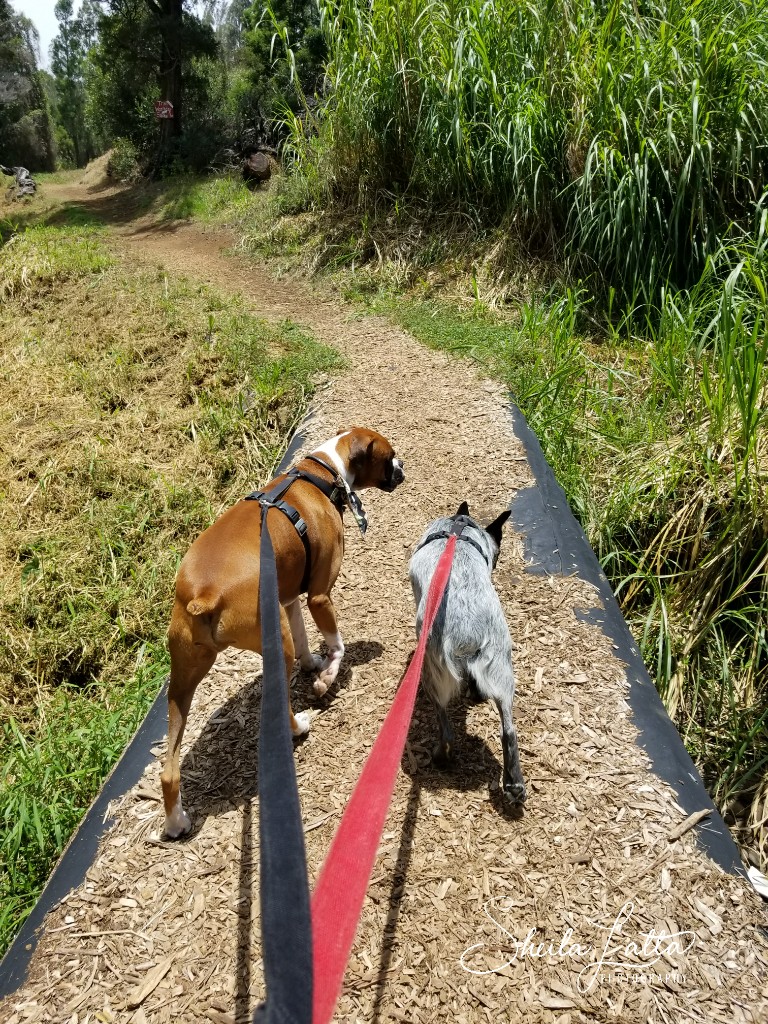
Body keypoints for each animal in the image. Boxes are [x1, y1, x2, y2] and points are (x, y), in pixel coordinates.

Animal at [162, 427, 405, 837]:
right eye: (389, 457)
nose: (403, 469)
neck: (322, 473)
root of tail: (202, 594)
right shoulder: (320, 597)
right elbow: (338, 647)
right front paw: (326, 678)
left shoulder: (290, 600)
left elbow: (306, 639)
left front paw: (313, 665)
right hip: (272, 649)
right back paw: (298, 726)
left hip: (182, 680)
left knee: (168, 769)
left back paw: (176, 820)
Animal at [408, 501, 526, 806]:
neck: (459, 528)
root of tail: (466, 632)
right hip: (502, 668)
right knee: (508, 729)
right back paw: (515, 785)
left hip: (432, 675)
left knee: (447, 730)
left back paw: (441, 758)